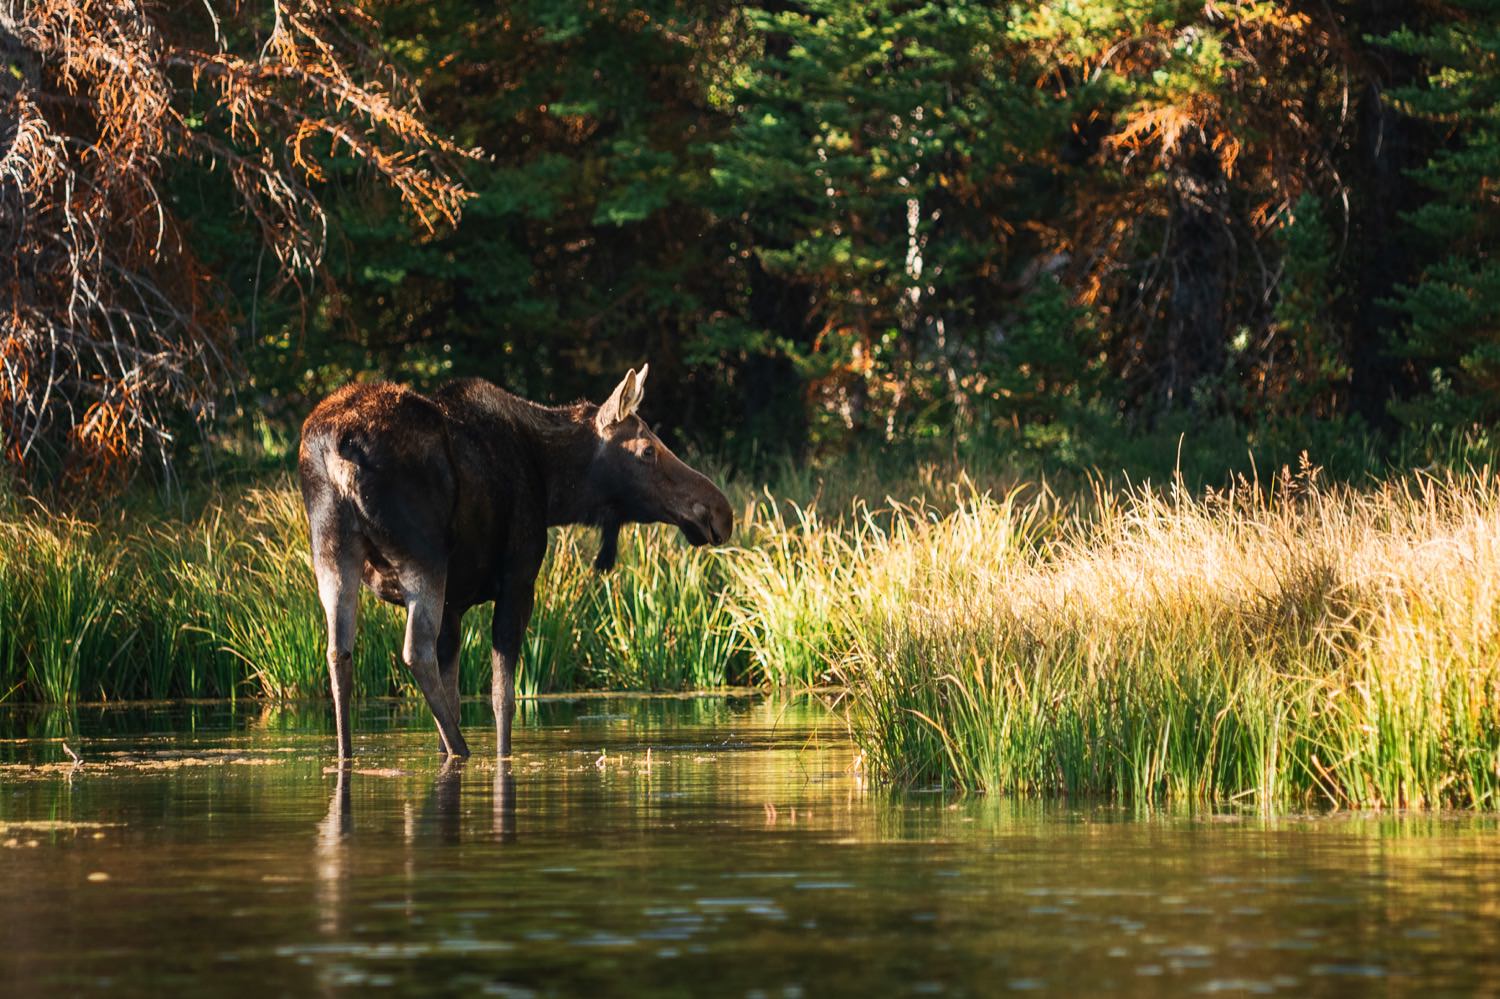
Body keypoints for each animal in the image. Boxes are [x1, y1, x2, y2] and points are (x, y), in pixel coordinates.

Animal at [297, 366, 732, 756]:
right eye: (647, 450)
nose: (720, 510)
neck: (554, 486)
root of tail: (339, 448)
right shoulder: (519, 580)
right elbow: (503, 696)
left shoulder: (454, 605)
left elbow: (454, 695)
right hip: (423, 555)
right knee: (414, 651)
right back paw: (462, 750)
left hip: (331, 552)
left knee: (338, 652)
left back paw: (347, 752)